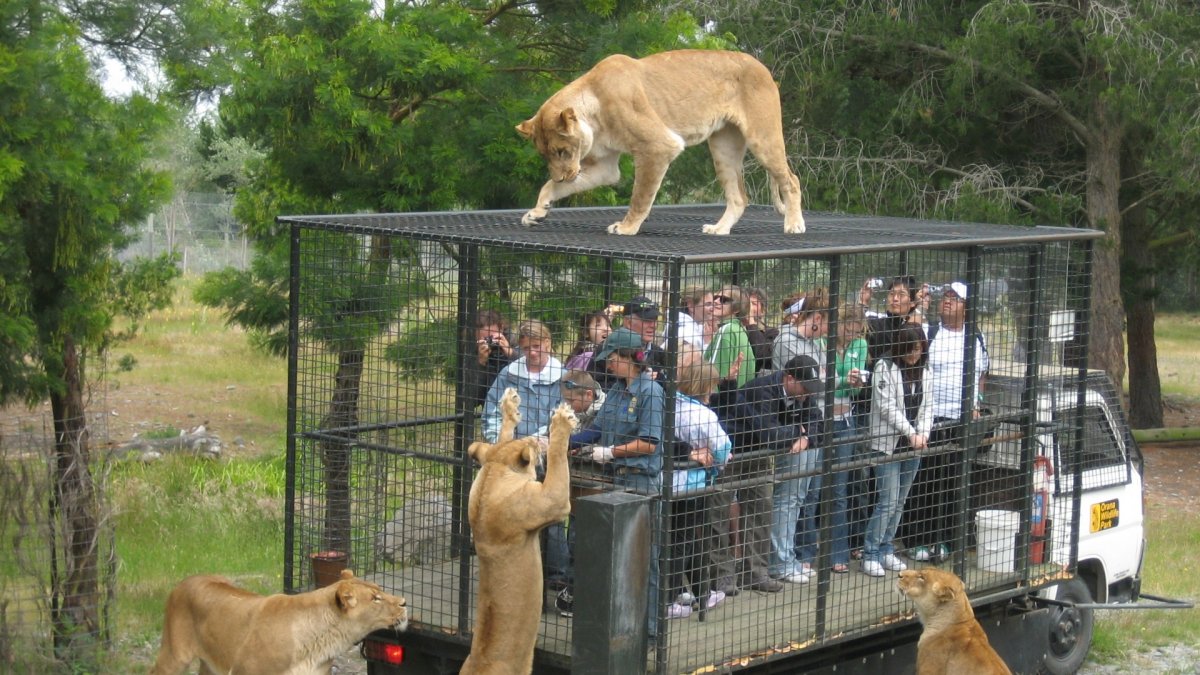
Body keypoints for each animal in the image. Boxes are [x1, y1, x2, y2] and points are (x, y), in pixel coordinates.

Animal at [150, 569, 407, 675]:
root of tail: (187, 580)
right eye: (375, 598)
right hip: (175, 657)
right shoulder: (244, 671)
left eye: (379, 589)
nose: (404, 602)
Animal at [460, 388, 576, 675]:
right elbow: (557, 460)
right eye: (532, 446)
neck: (492, 474)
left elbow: (502, 437)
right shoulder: (552, 501)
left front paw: (509, 406)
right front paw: (562, 421)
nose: (537, 439)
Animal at [516, 49, 804, 237]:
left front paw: (626, 227)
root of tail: (763, 66)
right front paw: (537, 212)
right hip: (723, 147)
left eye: (562, 151)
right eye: (545, 155)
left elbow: (640, 196)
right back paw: (719, 229)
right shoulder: (606, 167)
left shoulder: (657, 146)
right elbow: (550, 186)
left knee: (791, 180)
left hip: (762, 137)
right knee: (739, 197)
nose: (563, 176)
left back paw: (794, 225)